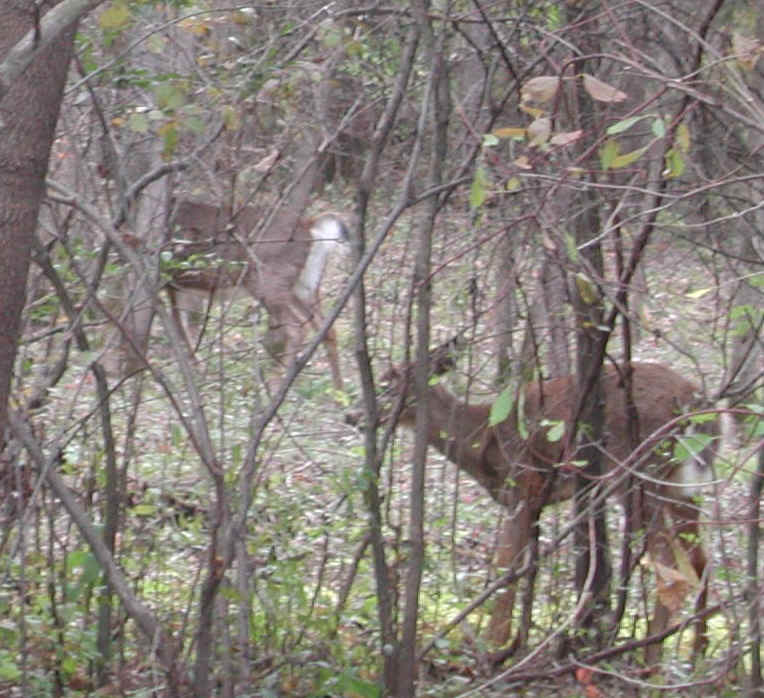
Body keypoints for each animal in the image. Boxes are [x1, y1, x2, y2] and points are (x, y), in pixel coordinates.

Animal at [163, 199, 350, 390]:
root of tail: (309, 226)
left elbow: (179, 326)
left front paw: (198, 375)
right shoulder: (176, 285)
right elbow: (180, 325)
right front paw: (200, 373)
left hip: (266, 280)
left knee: (297, 328)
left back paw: (276, 385)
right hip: (304, 285)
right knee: (326, 328)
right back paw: (339, 391)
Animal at [375, 349, 715, 664]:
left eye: (389, 386)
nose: (363, 416)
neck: (480, 436)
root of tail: (696, 403)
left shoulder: (524, 485)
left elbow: (505, 566)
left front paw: (493, 647)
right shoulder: (534, 501)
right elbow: (526, 569)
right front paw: (512, 643)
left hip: (641, 473)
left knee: (671, 566)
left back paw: (652, 662)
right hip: (678, 484)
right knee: (700, 558)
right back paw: (695, 654)